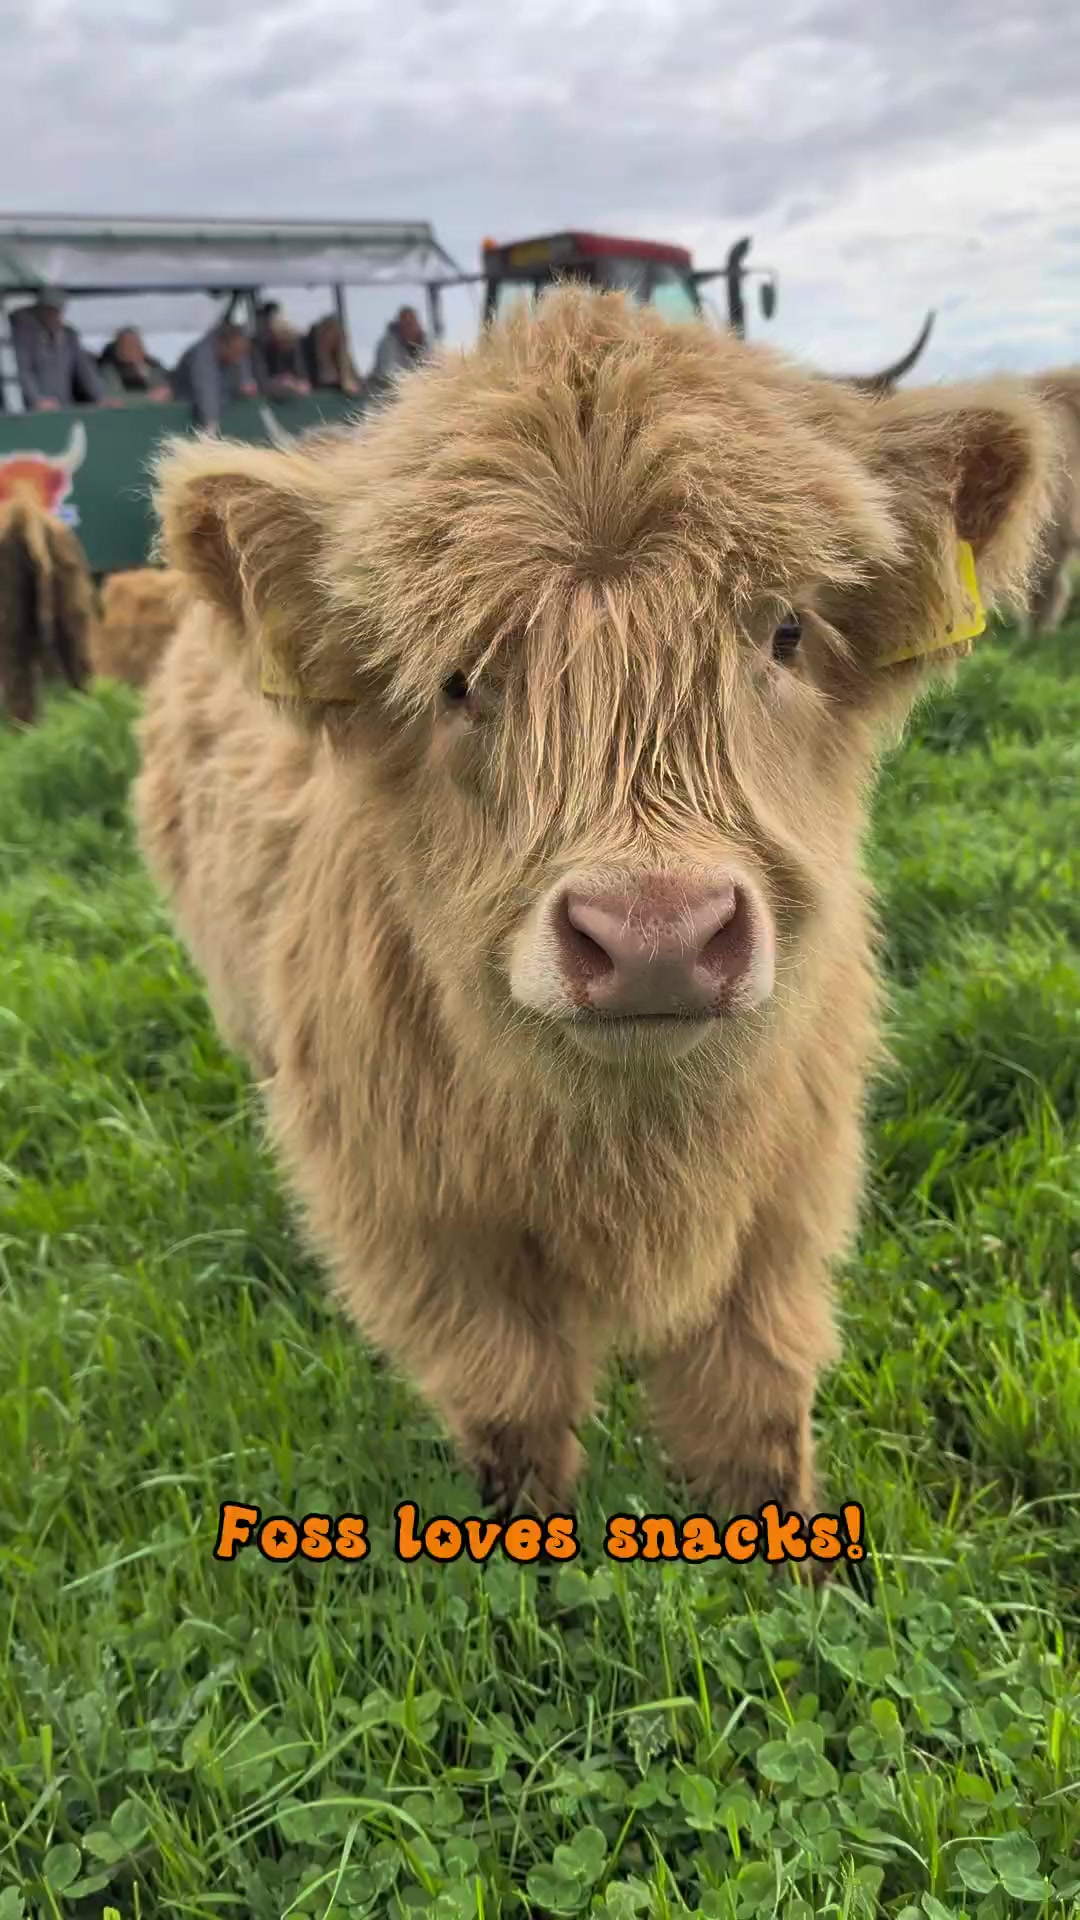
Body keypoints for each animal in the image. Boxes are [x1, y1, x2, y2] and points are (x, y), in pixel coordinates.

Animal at [133, 288, 1056, 1541]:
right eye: (459, 677)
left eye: (785, 632)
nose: (656, 938)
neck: (634, 1147)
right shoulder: (417, 1222)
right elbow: (512, 1401)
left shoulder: (790, 1191)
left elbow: (754, 1398)